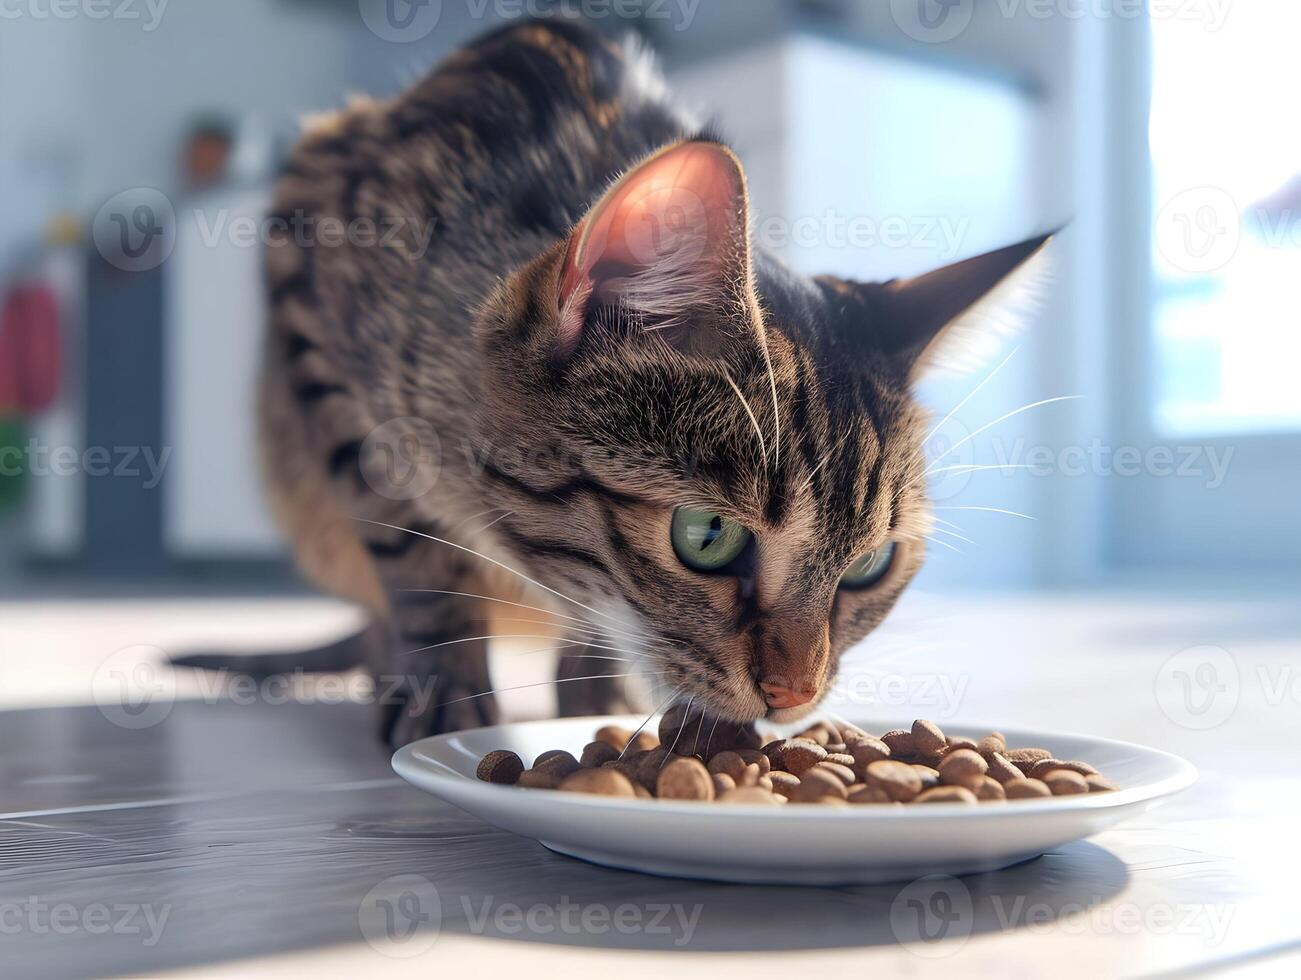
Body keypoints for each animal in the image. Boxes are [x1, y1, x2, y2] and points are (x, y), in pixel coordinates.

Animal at [236, 20, 1046, 739]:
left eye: (870, 566)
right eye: (706, 536)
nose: (795, 695)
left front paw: (599, 690)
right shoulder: (306, 269)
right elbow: (411, 553)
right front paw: (446, 684)